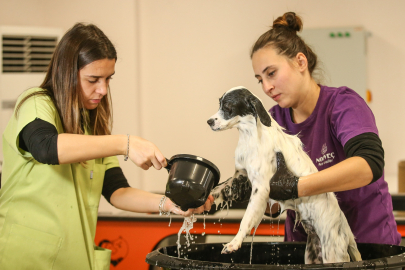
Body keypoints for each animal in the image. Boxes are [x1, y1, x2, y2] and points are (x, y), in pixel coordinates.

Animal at [207, 86, 362, 264]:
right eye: (220, 103)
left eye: (228, 106)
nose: (209, 121)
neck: (250, 137)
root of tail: (344, 227)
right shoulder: (239, 177)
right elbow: (217, 191)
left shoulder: (261, 188)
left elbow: (246, 219)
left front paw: (234, 242)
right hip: (312, 254)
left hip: (333, 254)